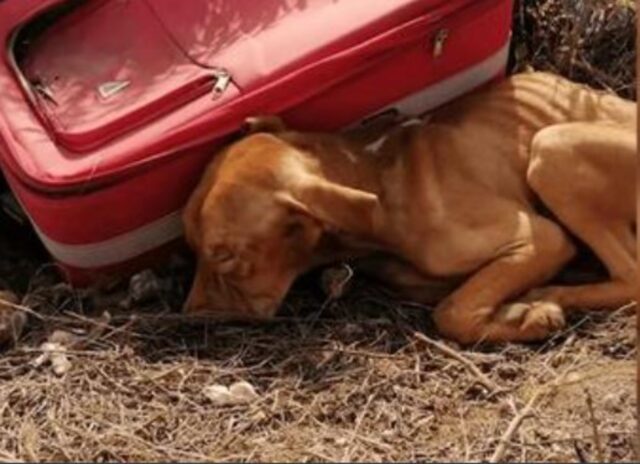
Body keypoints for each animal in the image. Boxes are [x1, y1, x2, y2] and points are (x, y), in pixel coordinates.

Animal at [181, 72, 636, 344]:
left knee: (631, 276)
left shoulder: (540, 238)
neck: (375, 175)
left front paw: (529, 314)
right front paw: (520, 313)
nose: (188, 316)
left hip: (550, 148)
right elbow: (458, 298)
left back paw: (554, 292)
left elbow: (452, 311)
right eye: (191, 246)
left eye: (225, 256)